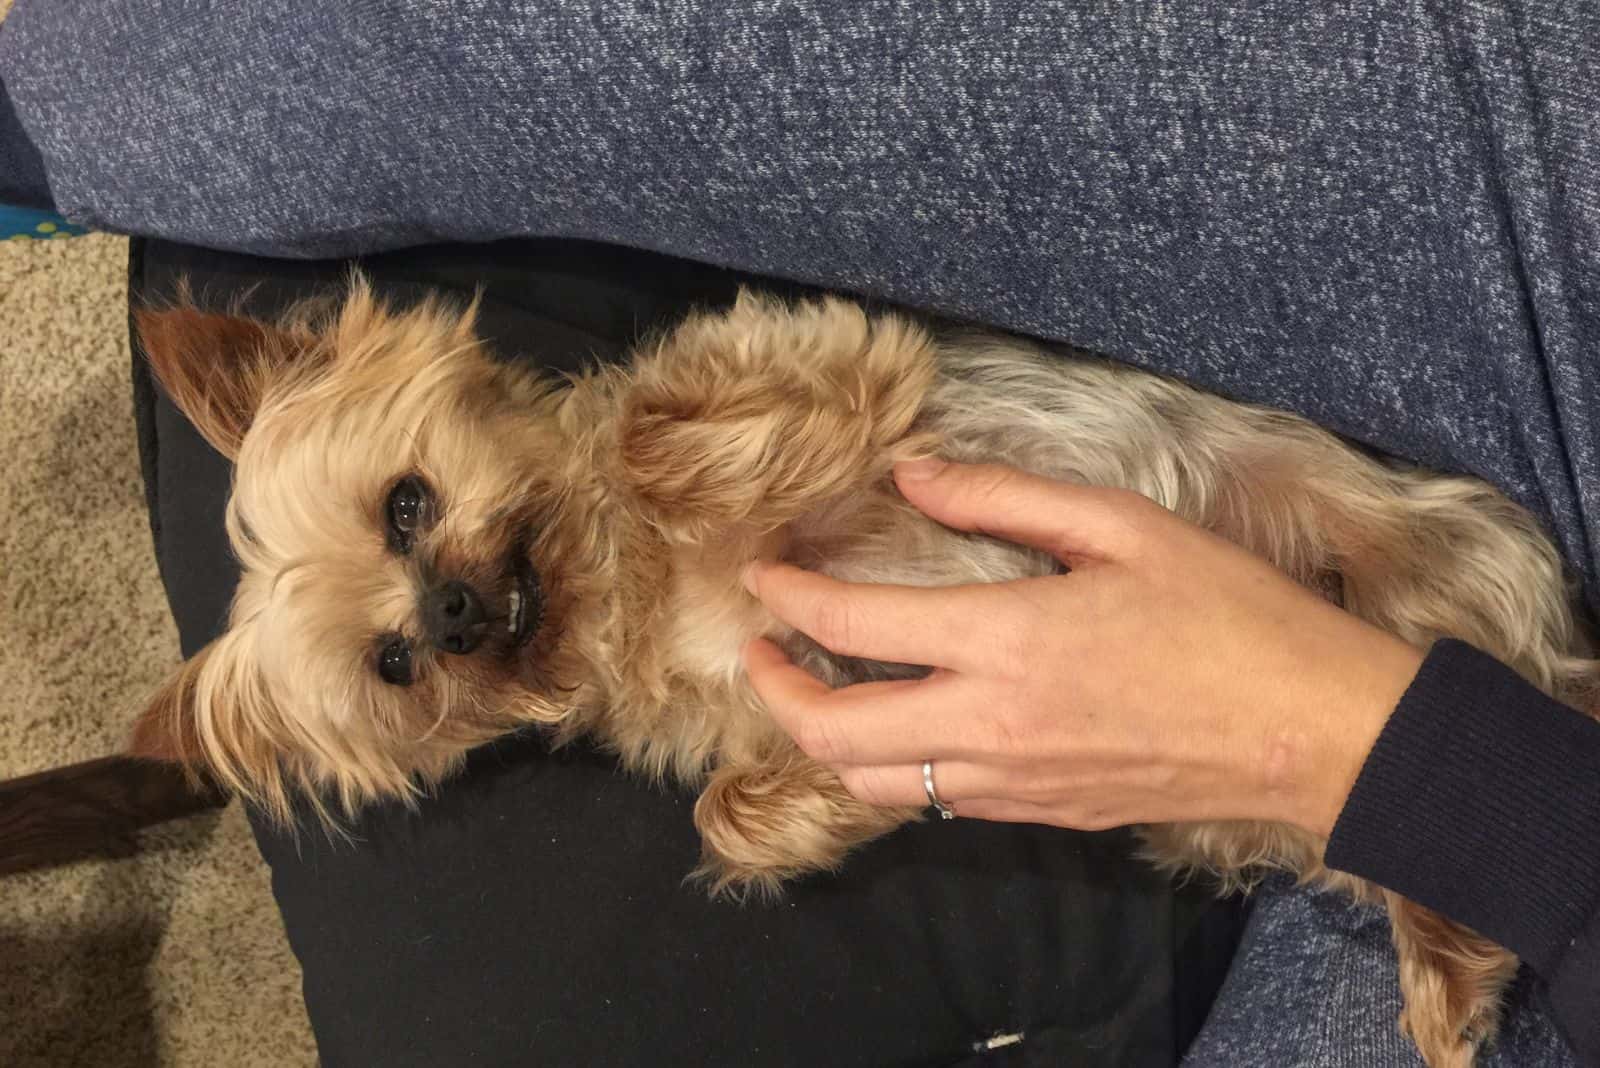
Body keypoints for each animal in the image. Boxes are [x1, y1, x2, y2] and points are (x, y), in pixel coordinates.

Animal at [134, 282, 1600, 1068]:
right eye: (392, 668)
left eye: (405, 502)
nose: (446, 613)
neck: (624, 587)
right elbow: (731, 806)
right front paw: (804, 816)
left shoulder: (831, 361)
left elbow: (668, 428)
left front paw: (684, 466)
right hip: (1281, 807)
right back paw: (1447, 971)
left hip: (1445, 558)